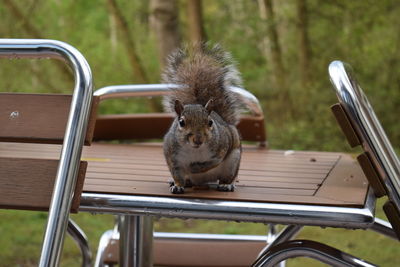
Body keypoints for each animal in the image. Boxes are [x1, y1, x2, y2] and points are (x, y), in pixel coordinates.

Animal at [162, 44, 242, 195]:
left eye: (210, 122)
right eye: (181, 122)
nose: (198, 140)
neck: (194, 150)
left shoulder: (222, 146)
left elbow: (213, 162)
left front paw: (196, 168)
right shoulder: (172, 155)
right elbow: (177, 174)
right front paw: (177, 185)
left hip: (233, 161)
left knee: (227, 177)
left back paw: (226, 184)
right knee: (187, 179)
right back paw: (182, 182)